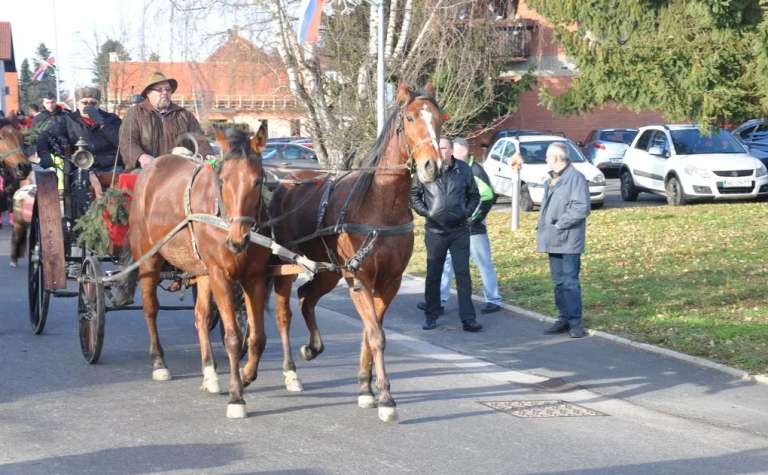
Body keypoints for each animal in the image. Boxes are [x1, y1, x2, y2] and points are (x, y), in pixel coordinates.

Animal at [132, 123, 272, 420]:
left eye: (257, 181)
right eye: (223, 181)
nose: (238, 239)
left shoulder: (254, 278)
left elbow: (257, 337)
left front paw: (245, 375)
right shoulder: (220, 275)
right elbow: (233, 337)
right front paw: (236, 396)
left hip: (203, 271)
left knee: (201, 316)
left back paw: (209, 371)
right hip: (149, 260)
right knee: (150, 309)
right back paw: (159, 361)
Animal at [270, 83, 440, 422]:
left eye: (440, 118)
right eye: (411, 118)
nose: (434, 166)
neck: (380, 205)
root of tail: (285, 182)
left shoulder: (388, 282)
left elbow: (370, 330)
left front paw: (365, 387)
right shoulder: (360, 278)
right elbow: (376, 335)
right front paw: (385, 397)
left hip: (328, 272)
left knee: (307, 296)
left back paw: (312, 347)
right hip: (286, 266)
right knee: (284, 312)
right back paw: (290, 371)